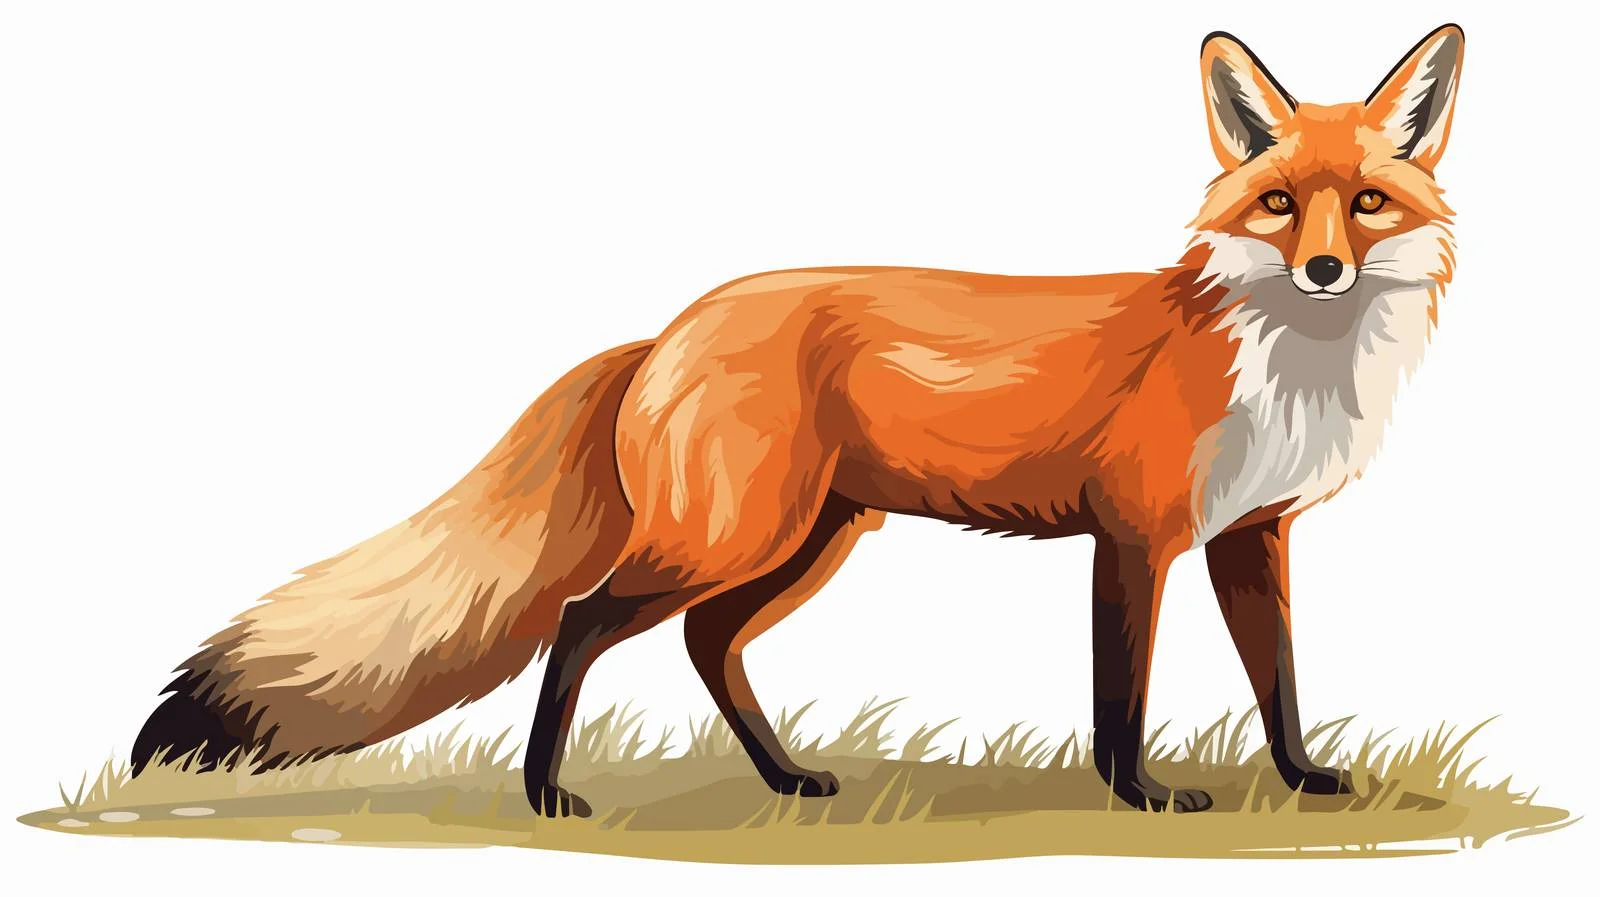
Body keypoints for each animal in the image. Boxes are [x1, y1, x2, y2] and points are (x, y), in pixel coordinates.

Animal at [132, 25, 1464, 816]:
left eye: (1368, 205)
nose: (1326, 271)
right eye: (1279, 203)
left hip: (805, 541)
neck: (1279, 362)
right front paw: (1138, 797)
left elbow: (1278, 679)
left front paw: (1302, 777)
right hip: (735, 538)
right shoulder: (1133, 538)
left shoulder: (1250, 536)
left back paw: (782, 777)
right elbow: (1119, 699)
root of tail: (664, 329)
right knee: (580, 622)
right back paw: (544, 795)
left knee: (705, 645)